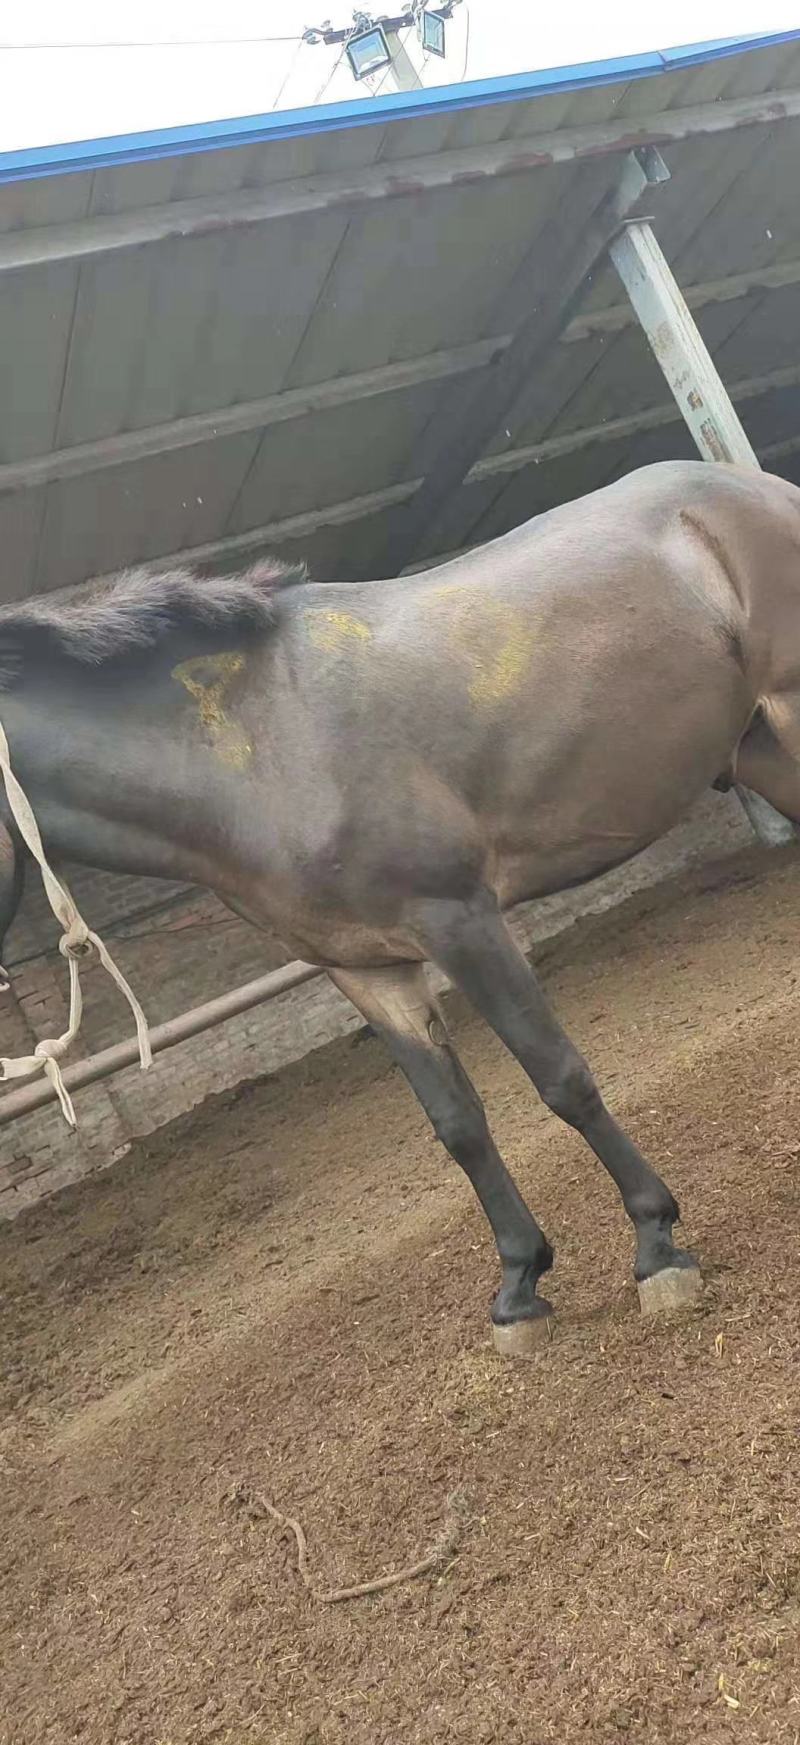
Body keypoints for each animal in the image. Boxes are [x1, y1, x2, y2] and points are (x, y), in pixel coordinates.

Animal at [1, 458, 799, 1350]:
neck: (256, 750)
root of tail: (743, 488)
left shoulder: (461, 920)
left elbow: (559, 1076)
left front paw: (657, 1245)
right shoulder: (367, 968)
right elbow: (456, 1123)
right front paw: (519, 1285)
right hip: (758, 749)